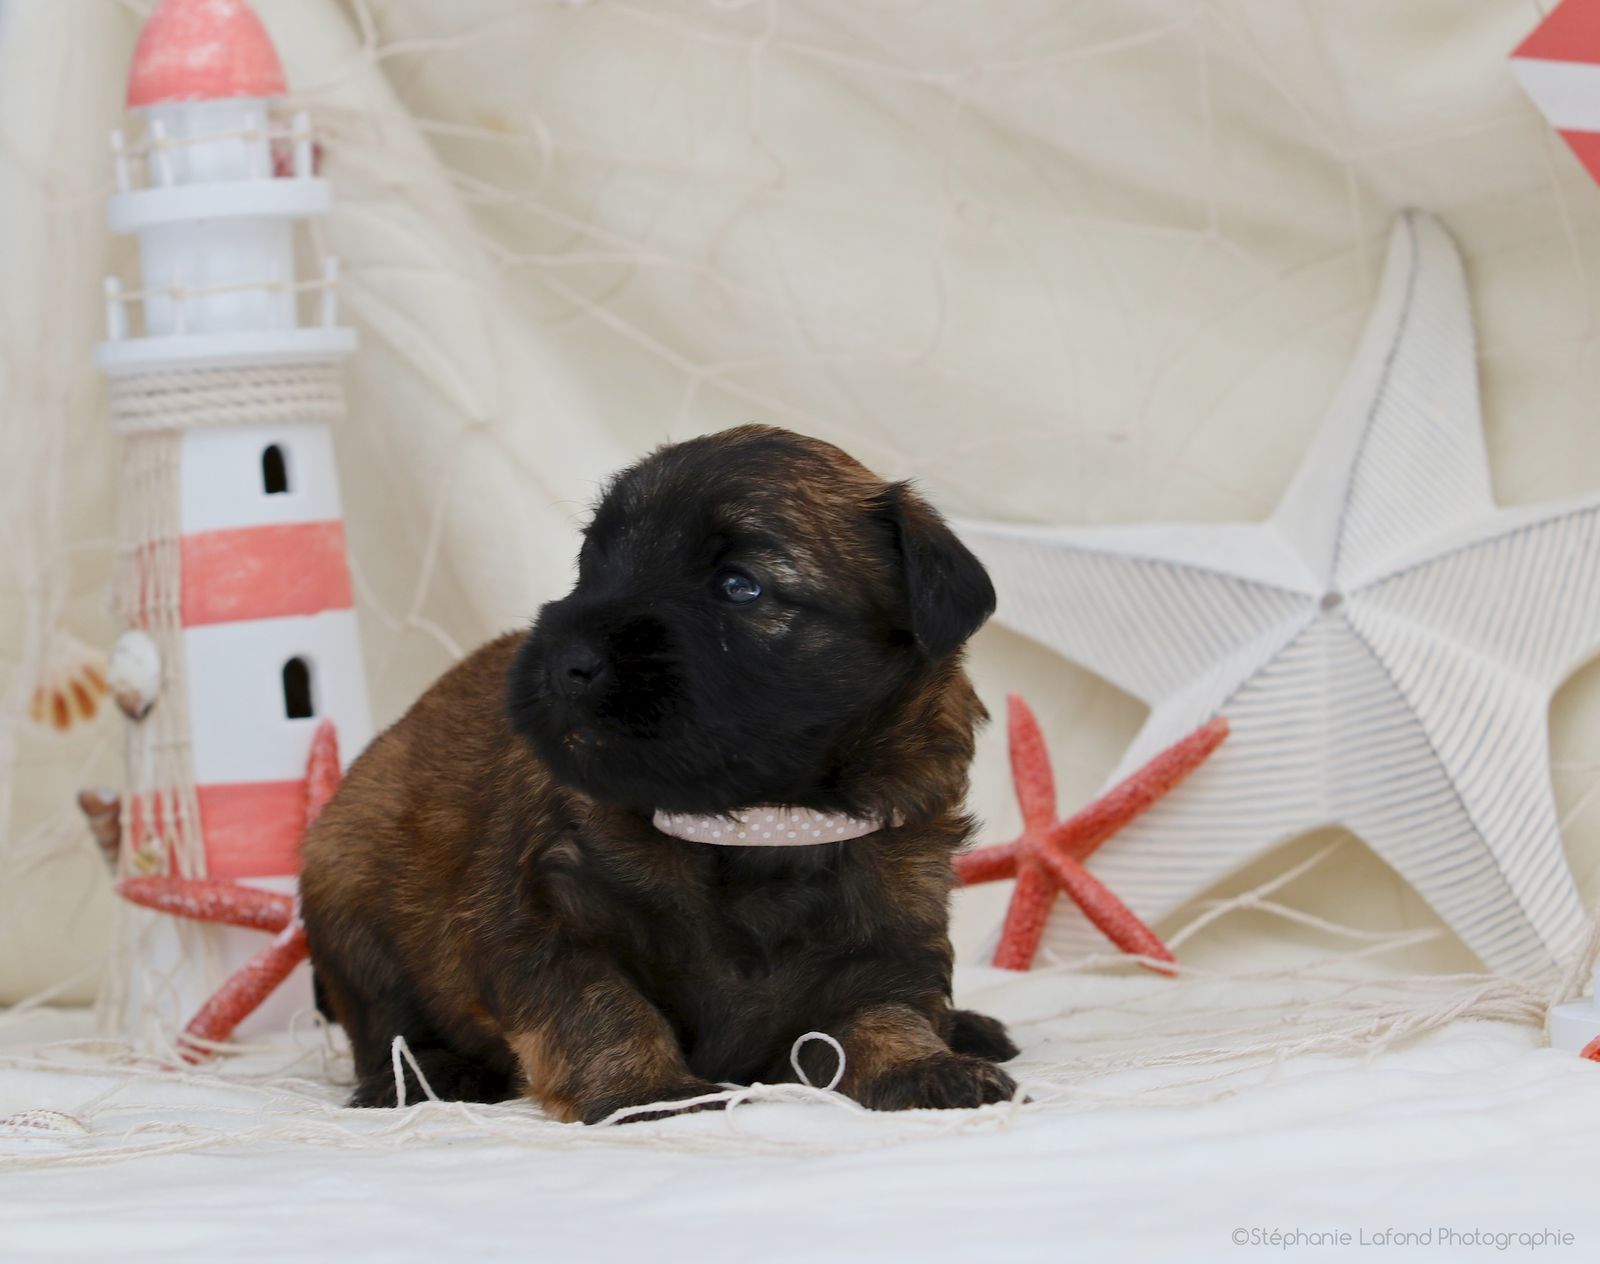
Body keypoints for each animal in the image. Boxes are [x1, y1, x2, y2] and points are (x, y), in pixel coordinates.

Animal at [299, 424, 1019, 1122]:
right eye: (594, 564)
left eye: (739, 586)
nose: (566, 658)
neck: (755, 826)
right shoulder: (541, 920)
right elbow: (603, 1007)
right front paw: (647, 1089)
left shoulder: (891, 944)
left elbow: (885, 1016)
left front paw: (927, 1066)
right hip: (350, 883)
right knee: (386, 1020)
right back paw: (426, 1074)